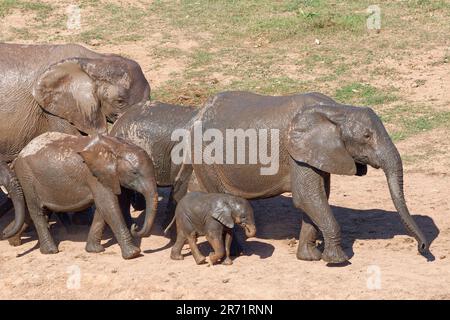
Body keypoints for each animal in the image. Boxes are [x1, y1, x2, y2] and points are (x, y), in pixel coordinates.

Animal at [7, 132, 159, 260]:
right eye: (134, 173)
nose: (135, 227)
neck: (117, 146)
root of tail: (20, 153)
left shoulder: (107, 177)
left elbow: (102, 210)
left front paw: (94, 250)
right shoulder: (94, 176)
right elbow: (109, 206)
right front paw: (133, 254)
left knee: (37, 211)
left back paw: (12, 240)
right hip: (27, 177)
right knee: (37, 211)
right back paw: (50, 251)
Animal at [173, 91, 428, 264]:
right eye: (366, 136)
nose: (422, 248)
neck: (336, 110)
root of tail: (196, 113)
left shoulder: (316, 154)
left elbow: (315, 199)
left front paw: (310, 257)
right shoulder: (296, 153)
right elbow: (308, 198)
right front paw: (337, 260)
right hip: (205, 157)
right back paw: (236, 253)